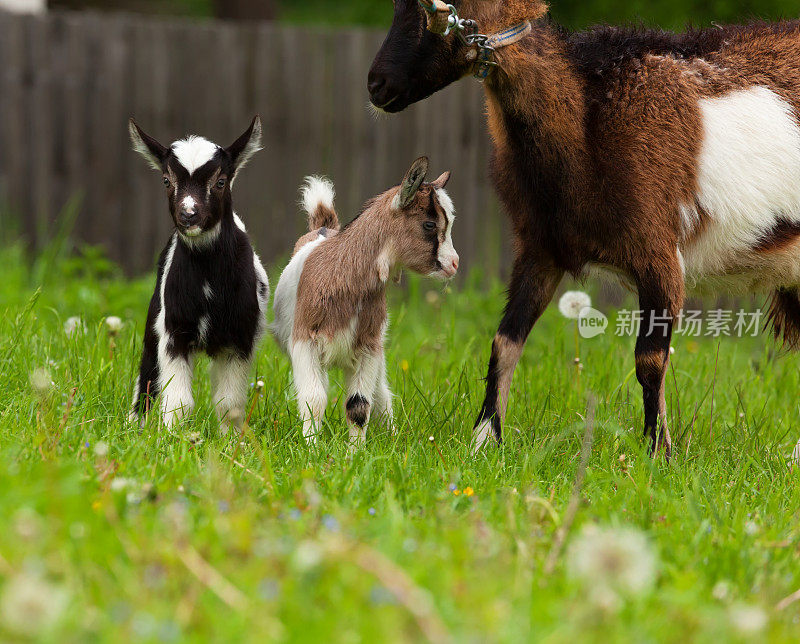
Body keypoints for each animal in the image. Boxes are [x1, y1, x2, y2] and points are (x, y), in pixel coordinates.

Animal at [128, 116, 268, 432]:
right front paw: (170, 438)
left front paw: (231, 441)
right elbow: (178, 401)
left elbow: (229, 405)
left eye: (220, 181)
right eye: (166, 180)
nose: (188, 215)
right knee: (147, 373)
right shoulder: (174, 330)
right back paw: (134, 424)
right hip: (155, 317)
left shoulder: (239, 338)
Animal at [272, 158, 460, 446]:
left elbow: (359, 404)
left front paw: (356, 451)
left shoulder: (369, 346)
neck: (341, 273)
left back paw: (392, 436)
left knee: (381, 393)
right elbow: (314, 399)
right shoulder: (304, 341)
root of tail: (323, 227)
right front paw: (311, 447)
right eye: (429, 224)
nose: (454, 264)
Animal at [370, 2, 800, 460]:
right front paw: (483, 441)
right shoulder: (541, 249)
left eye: (432, 9)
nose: (376, 85)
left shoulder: (659, 253)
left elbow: (650, 360)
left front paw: (657, 455)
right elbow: (504, 343)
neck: (589, 119)